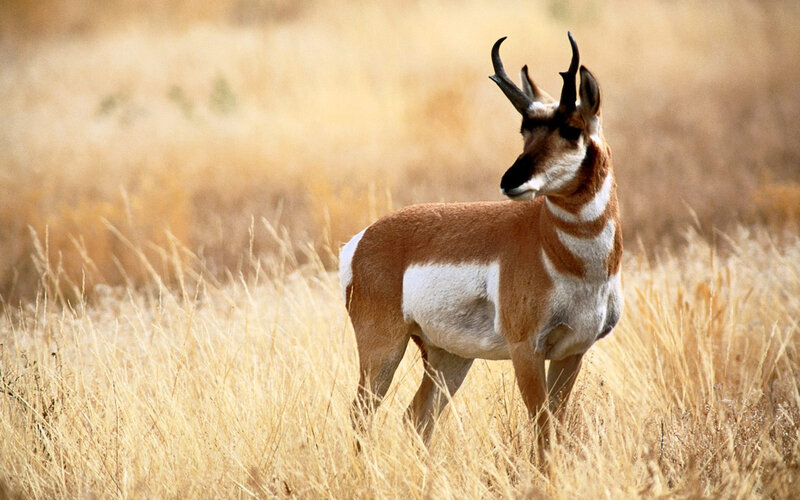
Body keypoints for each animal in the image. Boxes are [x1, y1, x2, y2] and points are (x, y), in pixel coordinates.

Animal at [340, 33, 622, 449]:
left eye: (572, 129)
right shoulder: (526, 350)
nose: (511, 180)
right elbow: (542, 429)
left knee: (416, 417)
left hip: (448, 356)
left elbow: (555, 427)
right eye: (524, 130)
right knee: (361, 416)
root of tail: (363, 240)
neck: (564, 255)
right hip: (384, 349)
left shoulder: (572, 352)